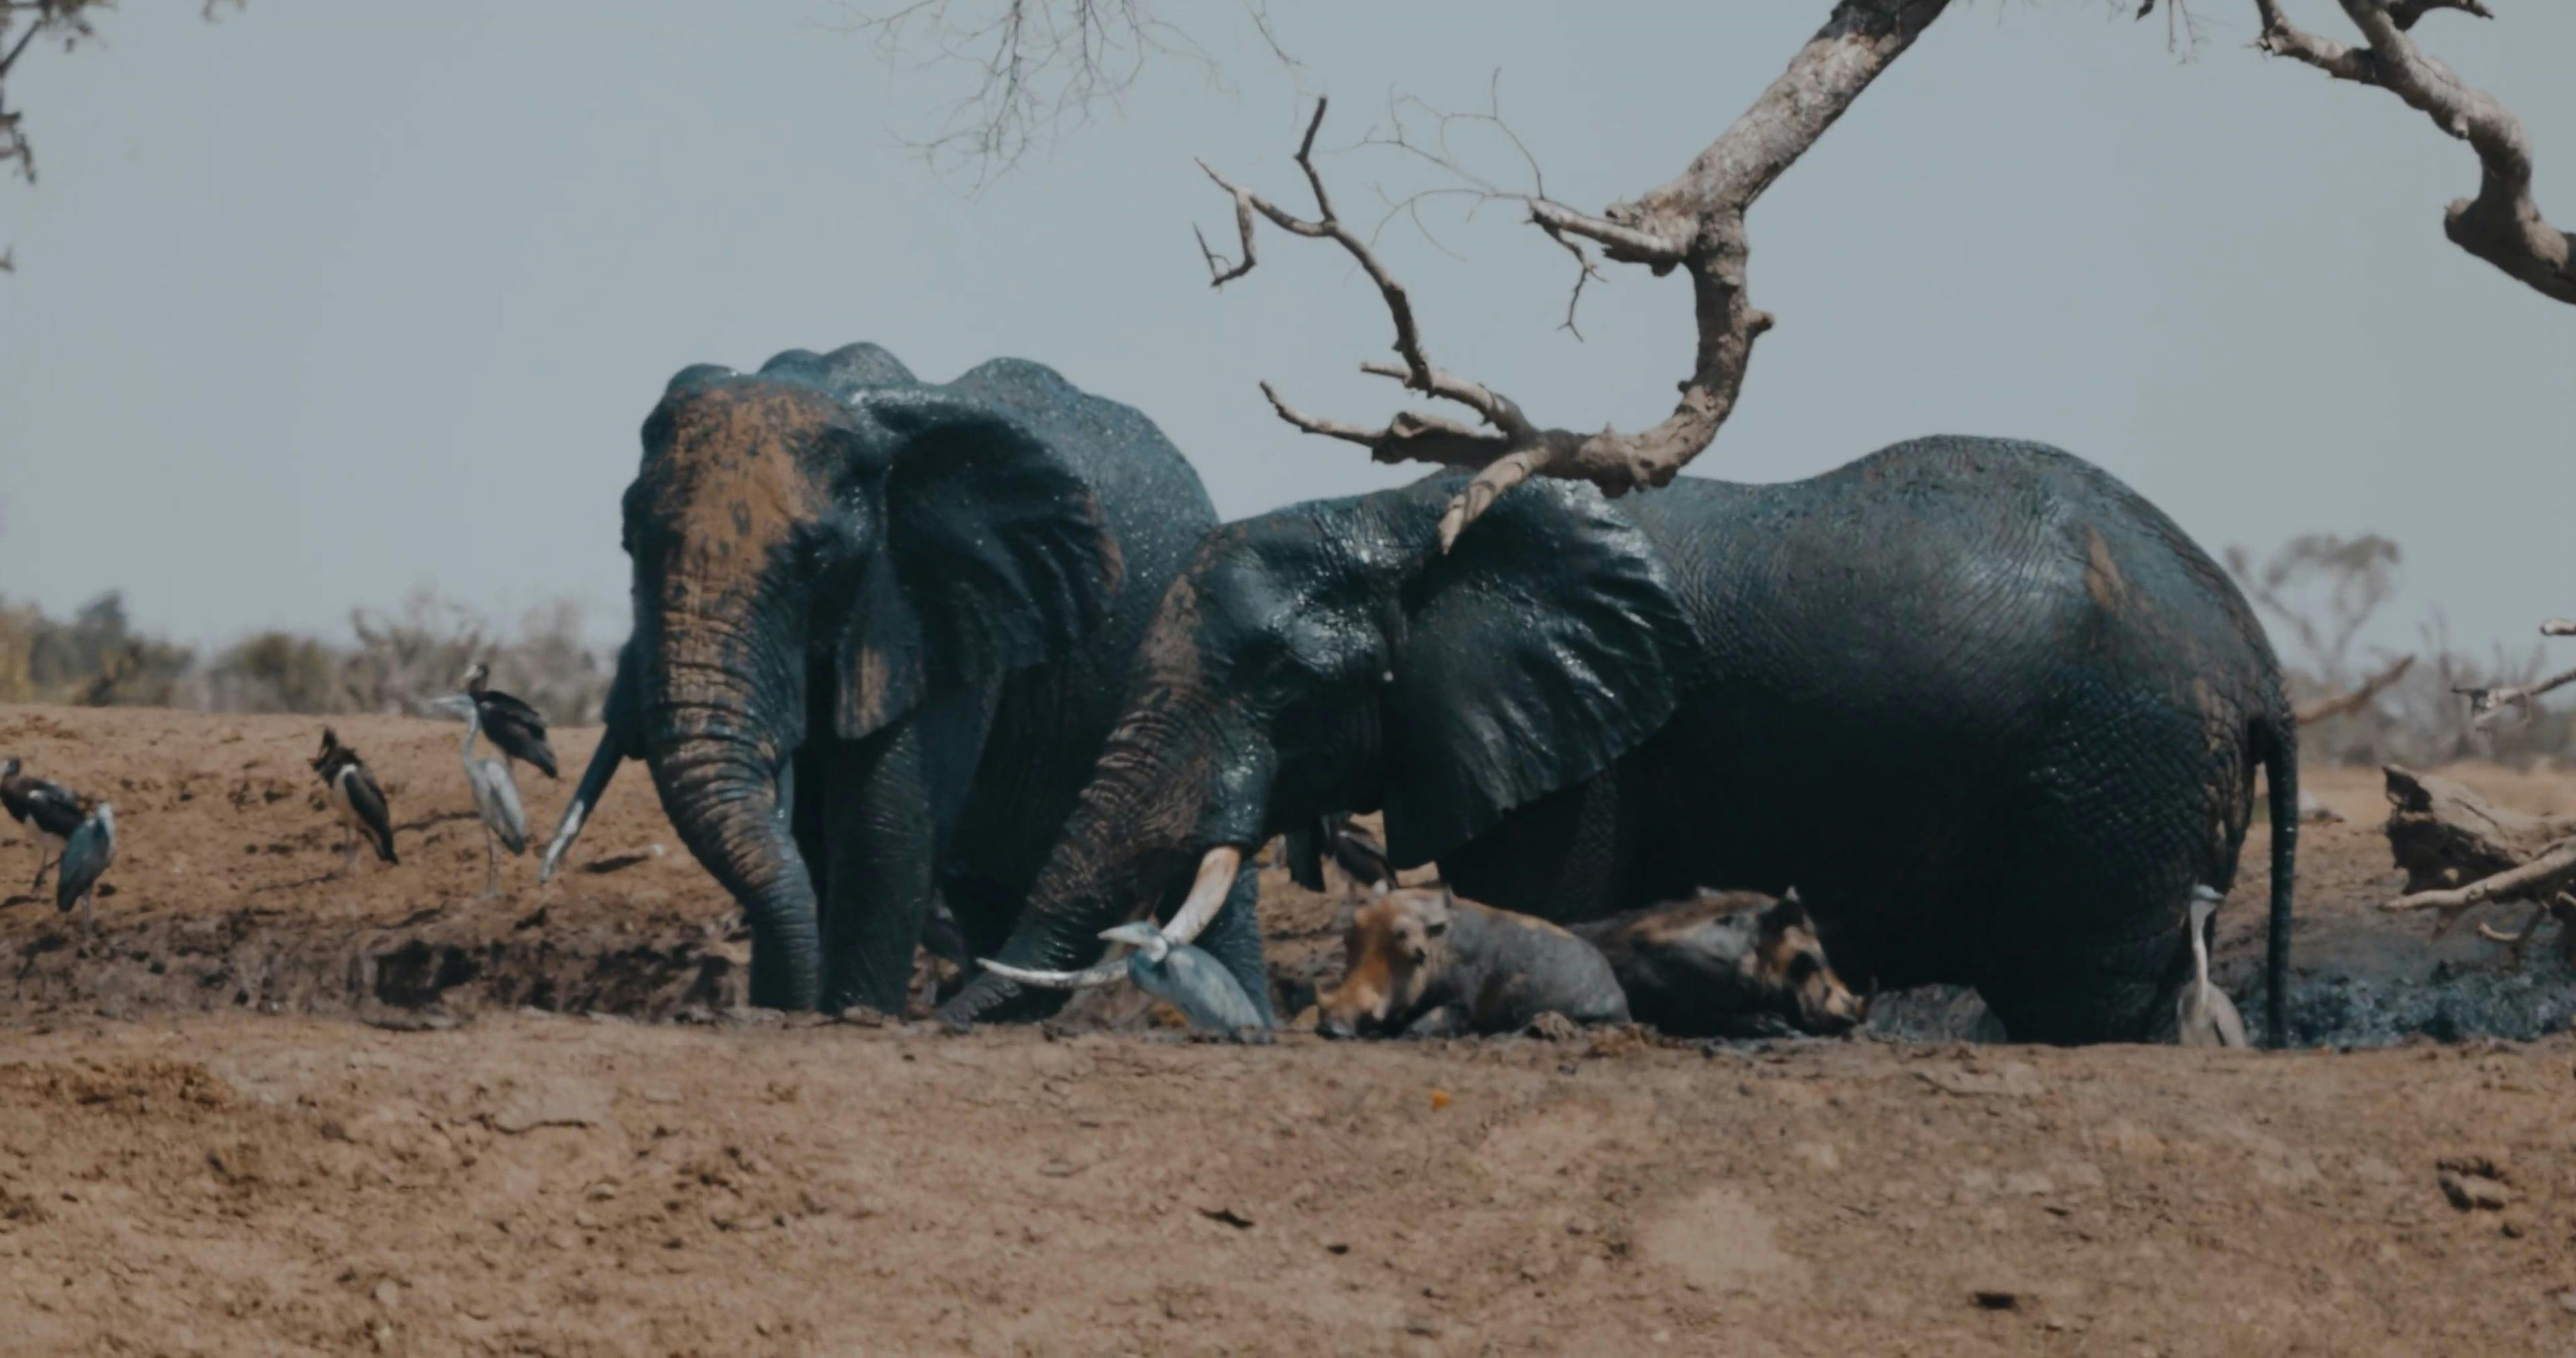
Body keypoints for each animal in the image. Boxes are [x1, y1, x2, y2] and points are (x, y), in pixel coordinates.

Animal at [538, 342, 1272, 1018]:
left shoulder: (938, 601)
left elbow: (882, 829)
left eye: (816, 560)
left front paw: (853, 1016)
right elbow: (814, 839)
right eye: (630, 540)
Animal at [939, 435, 2299, 1046]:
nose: (939, 1014)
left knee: (2087, 1001)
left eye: (1279, 681)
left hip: (2120, 774)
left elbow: (1543, 900)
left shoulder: (1582, 755)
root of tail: (2257, 649)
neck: (1415, 515)